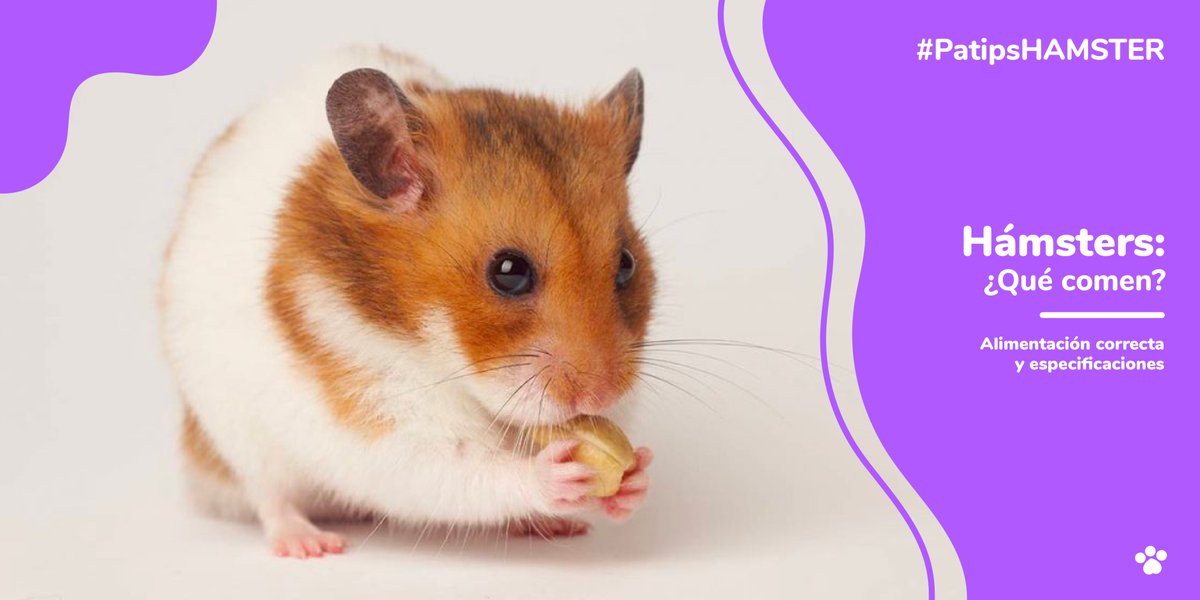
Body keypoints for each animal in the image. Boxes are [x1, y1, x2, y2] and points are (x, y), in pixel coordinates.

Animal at [160, 46, 656, 558]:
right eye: (509, 272)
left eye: (626, 264)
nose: (603, 395)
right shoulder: (378, 414)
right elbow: (461, 467)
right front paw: (557, 473)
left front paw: (636, 473)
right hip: (238, 436)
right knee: (271, 496)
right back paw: (310, 544)